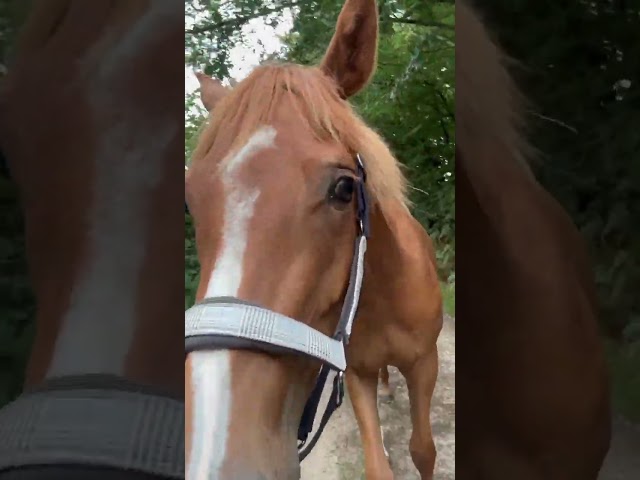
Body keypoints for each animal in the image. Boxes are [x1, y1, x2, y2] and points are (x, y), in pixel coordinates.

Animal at [184, 0, 443, 478]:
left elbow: (423, 450)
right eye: (191, 201)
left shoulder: (425, 365)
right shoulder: (355, 373)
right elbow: (377, 464)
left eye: (344, 188)